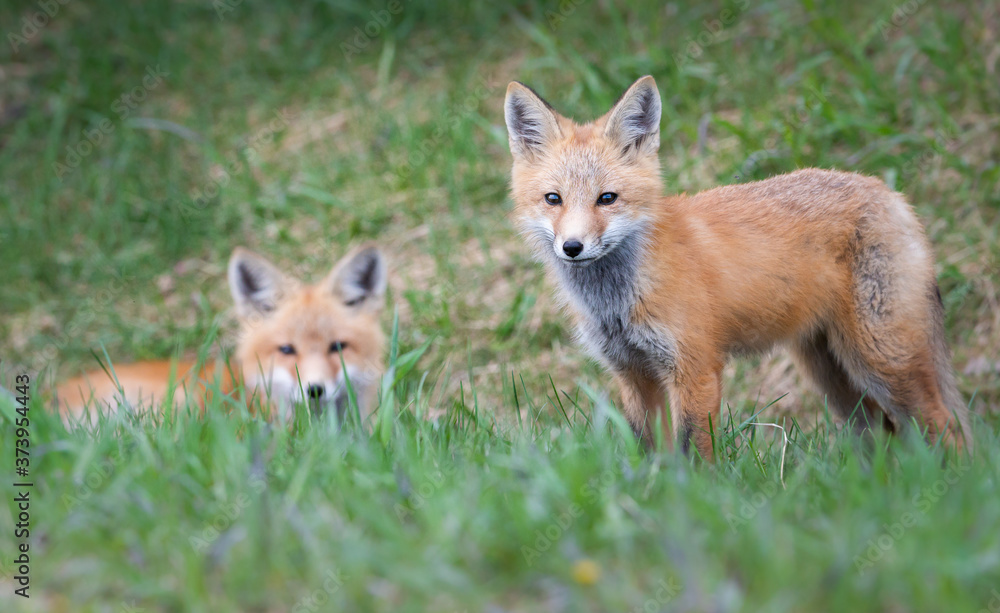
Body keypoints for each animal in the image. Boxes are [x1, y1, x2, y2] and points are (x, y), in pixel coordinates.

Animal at [503, 75, 971, 459]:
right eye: (553, 199)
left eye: (607, 199)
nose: (572, 247)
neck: (617, 301)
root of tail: (889, 192)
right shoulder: (632, 373)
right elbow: (651, 453)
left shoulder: (695, 368)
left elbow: (694, 451)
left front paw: (699, 499)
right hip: (831, 374)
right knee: (882, 434)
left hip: (881, 359)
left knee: (945, 425)